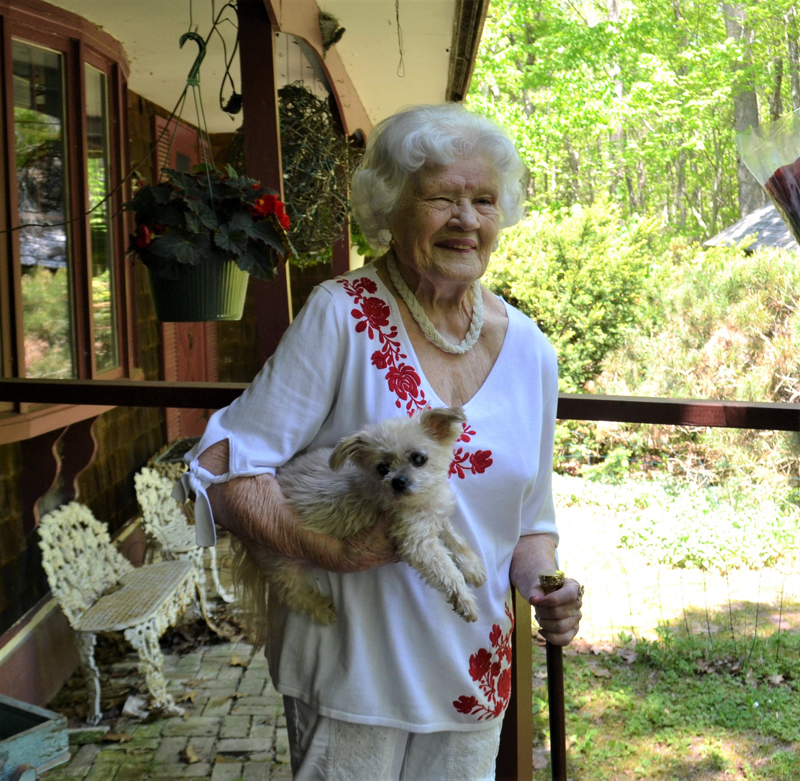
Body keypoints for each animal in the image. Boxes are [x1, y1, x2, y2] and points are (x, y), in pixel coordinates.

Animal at [231, 406, 488, 644]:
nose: (398, 482)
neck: (420, 502)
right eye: (382, 468)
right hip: (281, 562)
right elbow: (447, 571)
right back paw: (321, 608)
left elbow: (456, 540)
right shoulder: (417, 543)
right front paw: (465, 601)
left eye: (418, 458)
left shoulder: (436, 518)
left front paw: (472, 567)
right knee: (292, 593)